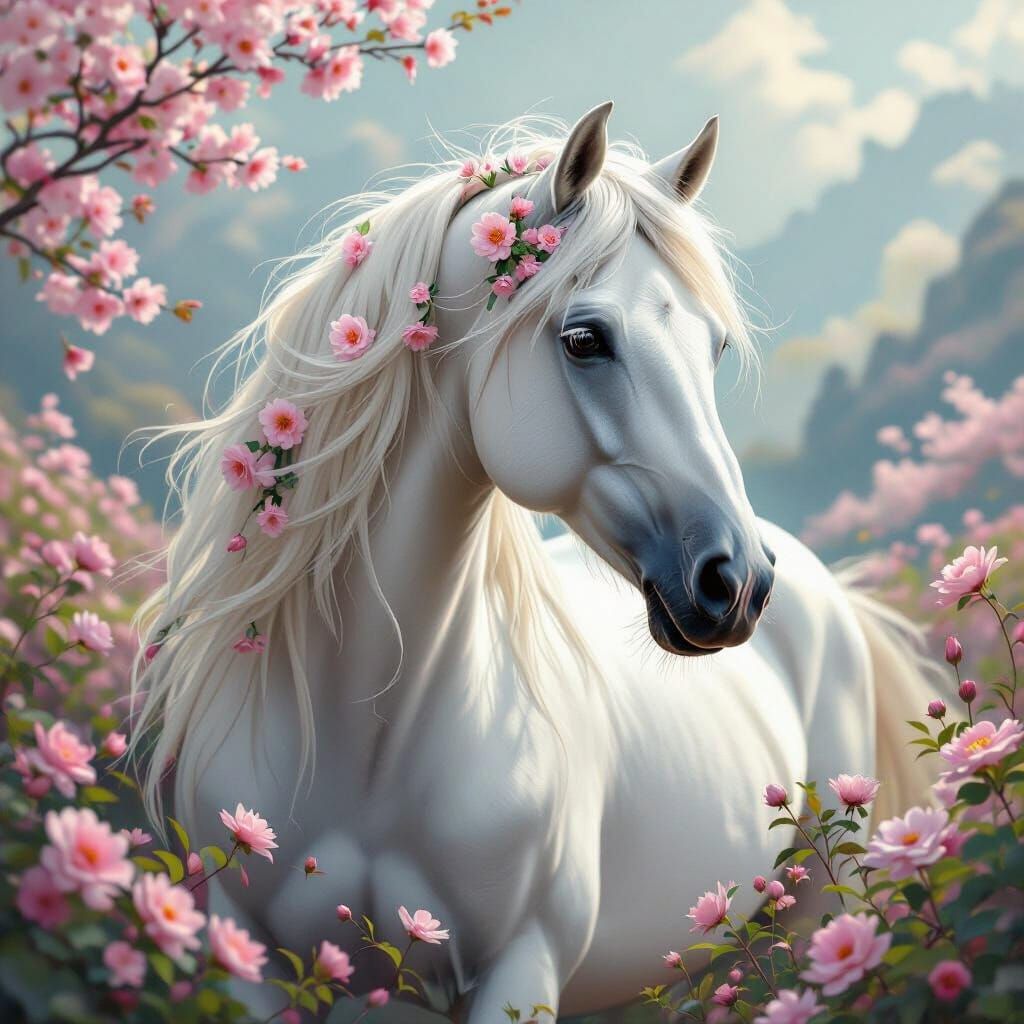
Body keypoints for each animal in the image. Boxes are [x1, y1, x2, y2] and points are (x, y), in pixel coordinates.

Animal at [133, 103, 933, 1021]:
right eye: (585, 338)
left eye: (717, 348)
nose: (737, 583)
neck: (362, 743)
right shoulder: (255, 964)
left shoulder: (522, 969)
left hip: (807, 936)